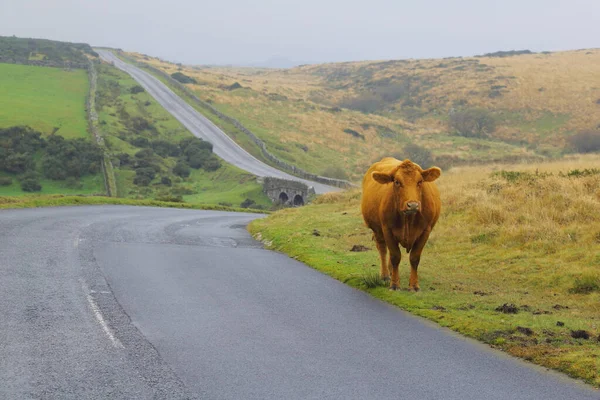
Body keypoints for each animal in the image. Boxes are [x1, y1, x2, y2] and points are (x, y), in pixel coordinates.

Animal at [360, 158, 440, 292]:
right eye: (397, 182)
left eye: (420, 181)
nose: (413, 205)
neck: (408, 219)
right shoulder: (387, 230)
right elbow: (395, 256)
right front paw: (394, 284)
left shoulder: (425, 231)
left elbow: (414, 258)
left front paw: (414, 285)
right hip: (378, 231)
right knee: (383, 249)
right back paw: (385, 275)